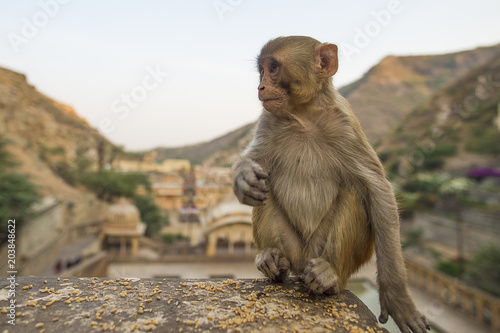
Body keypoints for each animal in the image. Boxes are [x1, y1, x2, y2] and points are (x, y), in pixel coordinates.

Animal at [233, 36, 430, 332]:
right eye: (262, 71)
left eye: (273, 67)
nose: (261, 86)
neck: (303, 116)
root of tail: (303, 262)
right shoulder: (268, 121)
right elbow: (255, 162)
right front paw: (244, 177)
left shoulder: (345, 125)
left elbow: (378, 190)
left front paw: (398, 299)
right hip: (295, 249)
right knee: (266, 195)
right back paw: (271, 259)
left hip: (325, 251)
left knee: (354, 195)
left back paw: (330, 276)